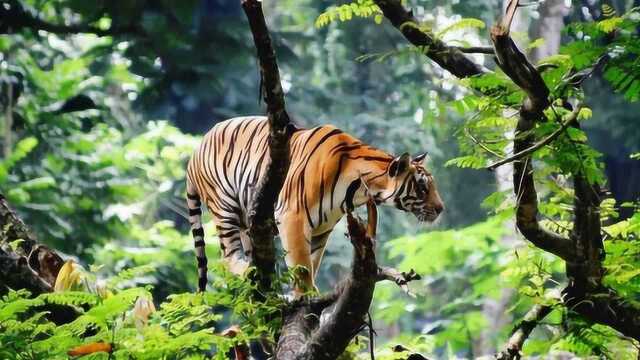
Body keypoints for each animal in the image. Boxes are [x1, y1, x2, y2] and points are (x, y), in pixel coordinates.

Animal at [188, 116, 442, 292]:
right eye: (422, 187)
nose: (441, 209)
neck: (359, 189)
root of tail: (196, 148)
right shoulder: (294, 216)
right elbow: (301, 265)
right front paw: (305, 295)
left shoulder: (322, 228)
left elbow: (312, 261)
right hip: (224, 208)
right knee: (227, 257)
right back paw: (247, 272)